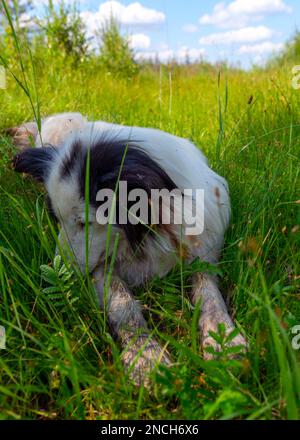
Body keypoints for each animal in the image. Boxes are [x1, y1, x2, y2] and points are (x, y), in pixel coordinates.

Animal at [10, 113, 247, 384]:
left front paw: (223, 340)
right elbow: (123, 305)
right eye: (55, 219)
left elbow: (209, 294)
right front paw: (146, 358)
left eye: (84, 222)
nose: (60, 274)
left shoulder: (202, 252)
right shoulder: (101, 268)